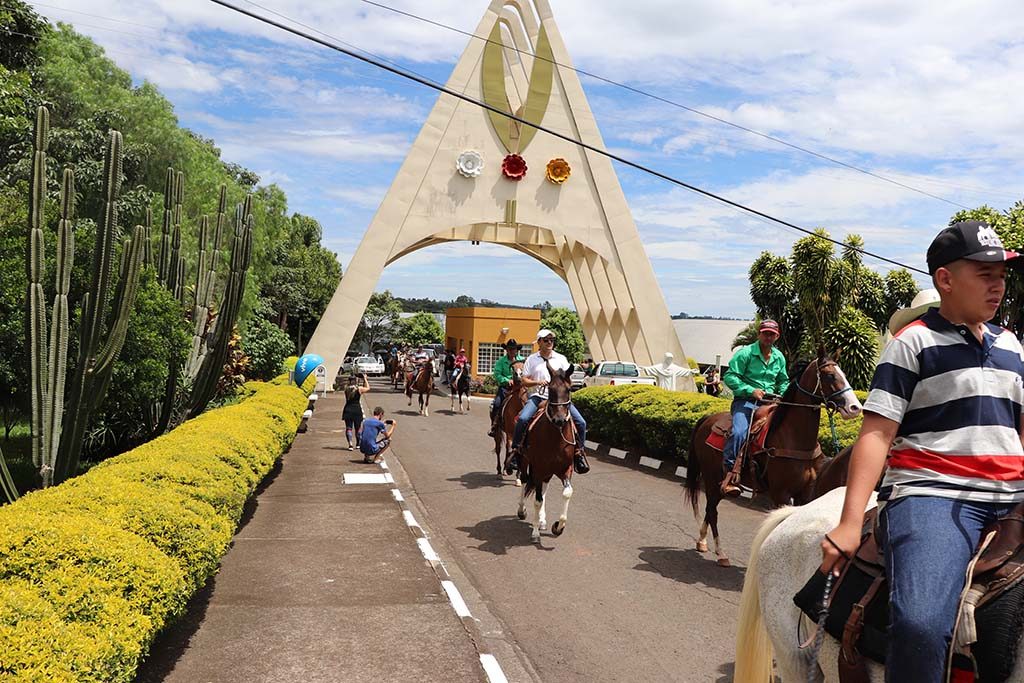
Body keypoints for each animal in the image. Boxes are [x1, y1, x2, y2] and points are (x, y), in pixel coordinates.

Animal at [512, 360, 577, 540]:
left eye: (569, 389)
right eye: (551, 389)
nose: (560, 419)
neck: (556, 437)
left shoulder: (565, 469)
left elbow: (567, 493)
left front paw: (558, 526)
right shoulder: (539, 468)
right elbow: (537, 499)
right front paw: (534, 531)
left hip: (548, 471)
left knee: (544, 486)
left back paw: (542, 520)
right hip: (525, 461)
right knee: (525, 480)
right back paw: (522, 510)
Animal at [684, 350, 860, 569]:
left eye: (843, 373)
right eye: (829, 376)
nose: (855, 407)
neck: (794, 439)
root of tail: (708, 419)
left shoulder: (805, 493)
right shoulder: (780, 494)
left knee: (711, 509)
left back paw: (702, 541)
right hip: (711, 477)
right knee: (712, 510)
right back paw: (721, 553)